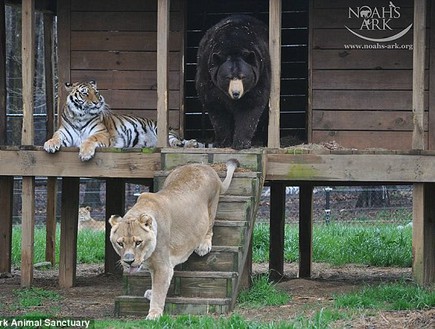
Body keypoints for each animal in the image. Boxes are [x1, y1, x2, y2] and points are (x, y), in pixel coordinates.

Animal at [43, 80, 198, 161]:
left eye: (96, 92)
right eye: (85, 93)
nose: (97, 102)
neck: (80, 117)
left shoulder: (102, 133)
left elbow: (90, 139)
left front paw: (85, 153)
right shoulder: (64, 133)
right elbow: (55, 136)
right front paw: (50, 144)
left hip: (161, 130)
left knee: (175, 141)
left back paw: (191, 143)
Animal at [196, 14, 270, 149]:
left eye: (243, 77)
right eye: (228, 77)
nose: (236, 93)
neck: (233, 44)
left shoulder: (261, 73)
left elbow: (251, 105)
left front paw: (241, 143)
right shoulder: (207, 74)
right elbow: (216, 106)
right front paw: (222, 142)